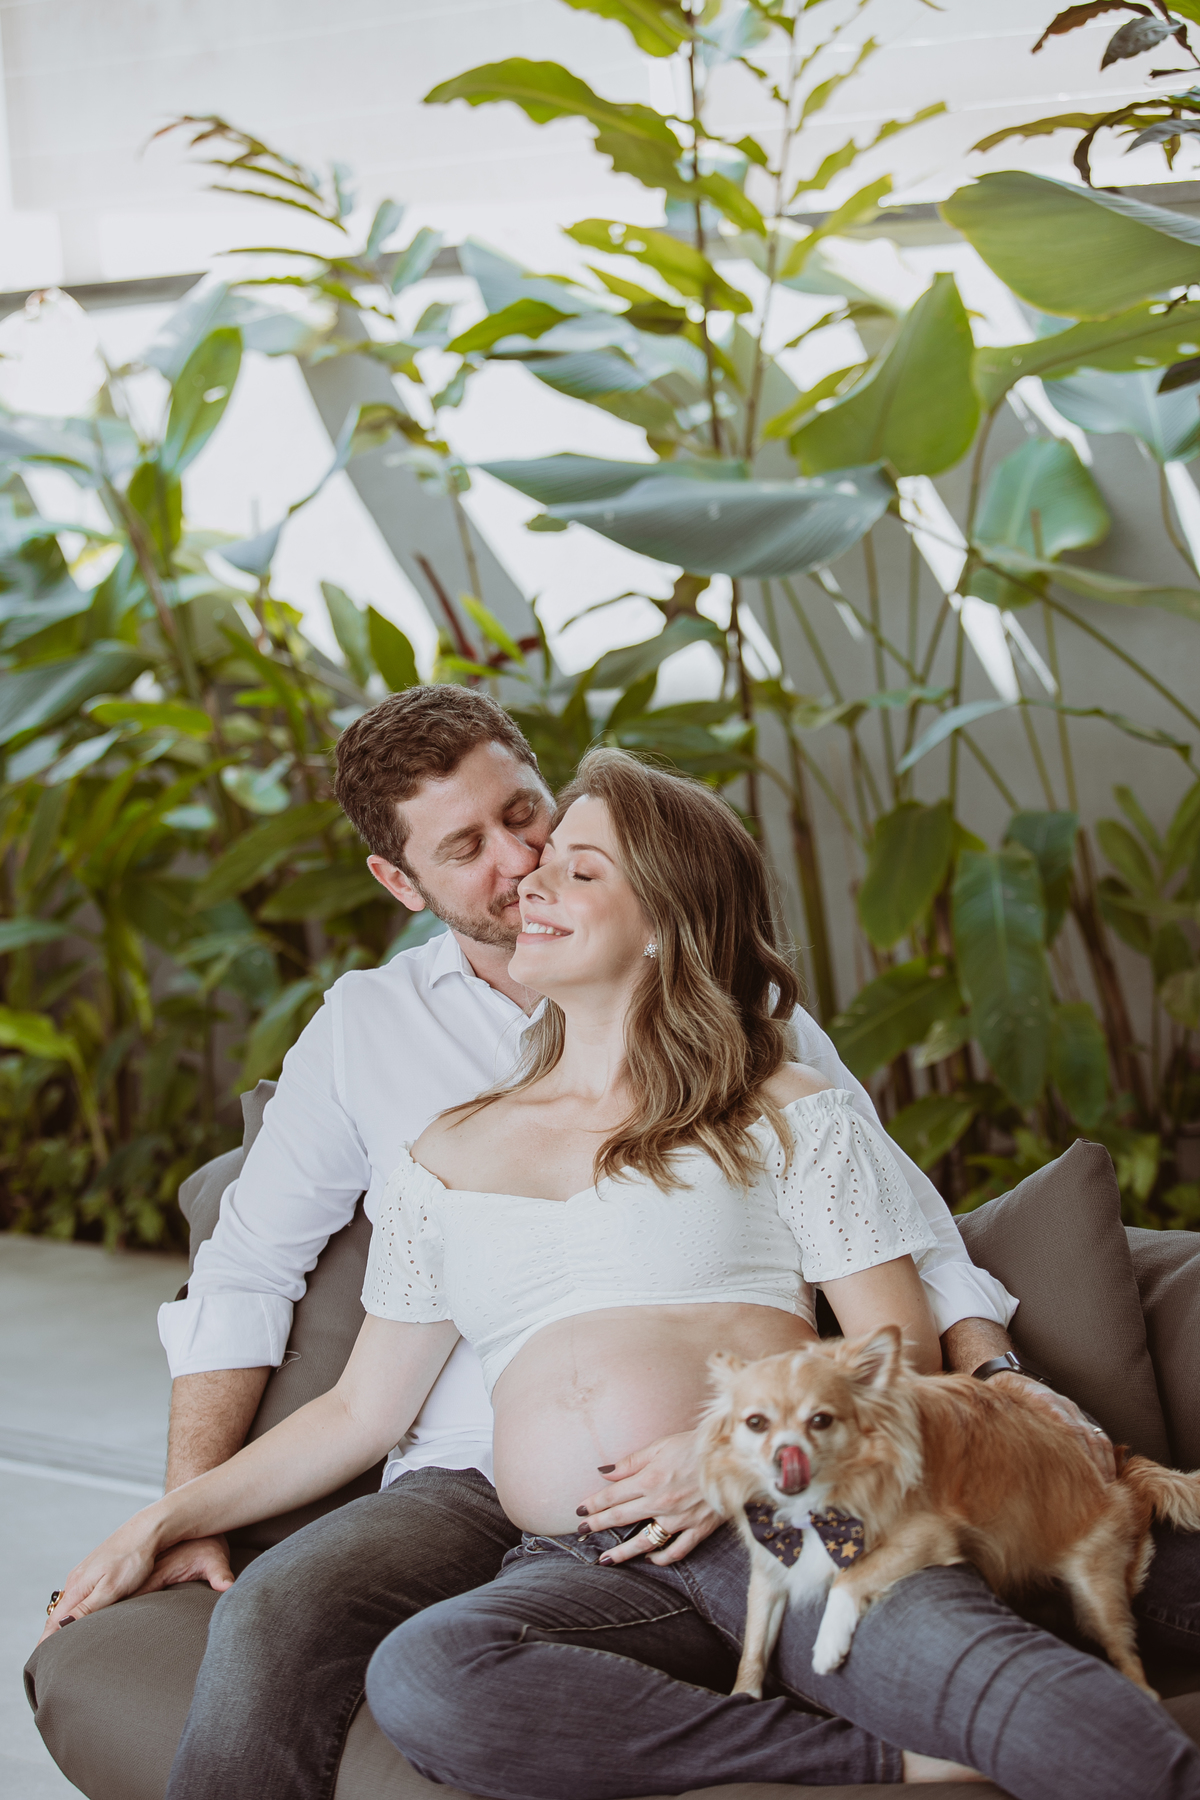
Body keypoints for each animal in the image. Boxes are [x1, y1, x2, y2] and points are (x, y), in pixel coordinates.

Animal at [697, 1325, 1200, 1699]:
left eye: (821, 1420)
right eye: (755, 1423)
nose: (785, 1456)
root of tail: (1123, 1473)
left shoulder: (928, 1536)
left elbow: (850, 1577)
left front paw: (827, 1644)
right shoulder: (769, 1568)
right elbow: (754, 1642)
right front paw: (744, 1696)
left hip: (1095, 1589)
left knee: (1132, 1667)